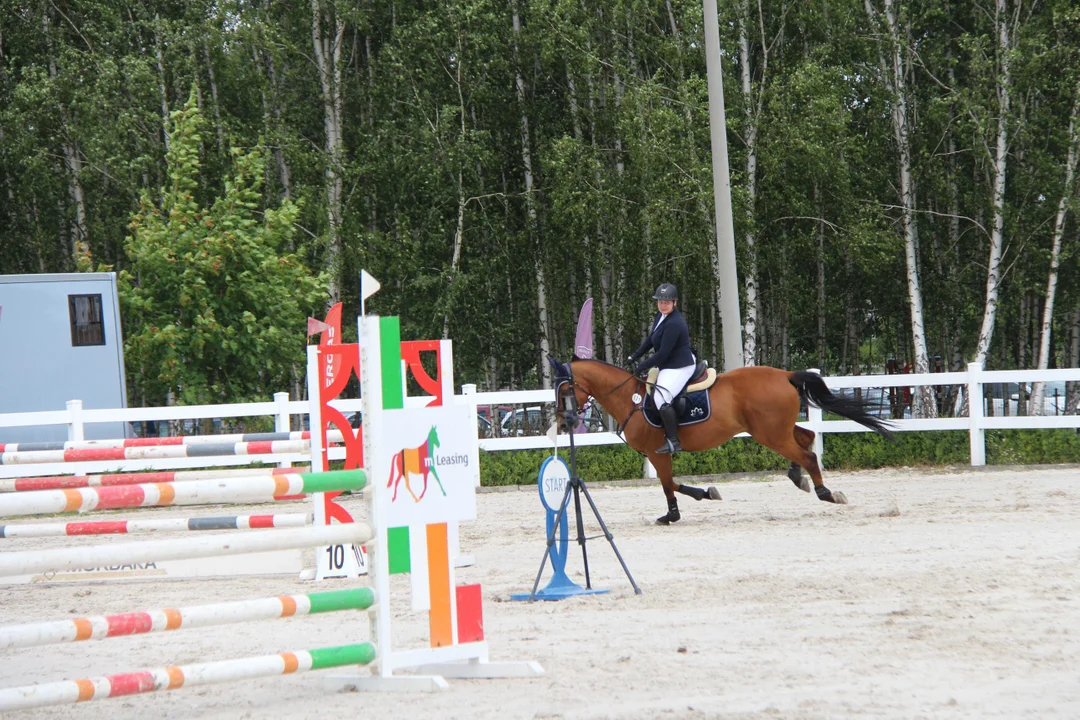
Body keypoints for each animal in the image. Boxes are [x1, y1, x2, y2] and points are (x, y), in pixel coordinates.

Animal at [548, 358, 894, 524]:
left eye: (565, 390)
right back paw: (798, 477)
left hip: (770, 433)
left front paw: (672, 515)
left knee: (807, 454)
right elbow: (673, 483)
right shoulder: (658, 455)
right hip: (776, 430)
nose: (565, 423)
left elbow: (667, 483)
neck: (629, 397)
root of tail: (784, 374)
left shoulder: (658, 452)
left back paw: (826, 493)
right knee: (807, 438)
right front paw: (706, 494)